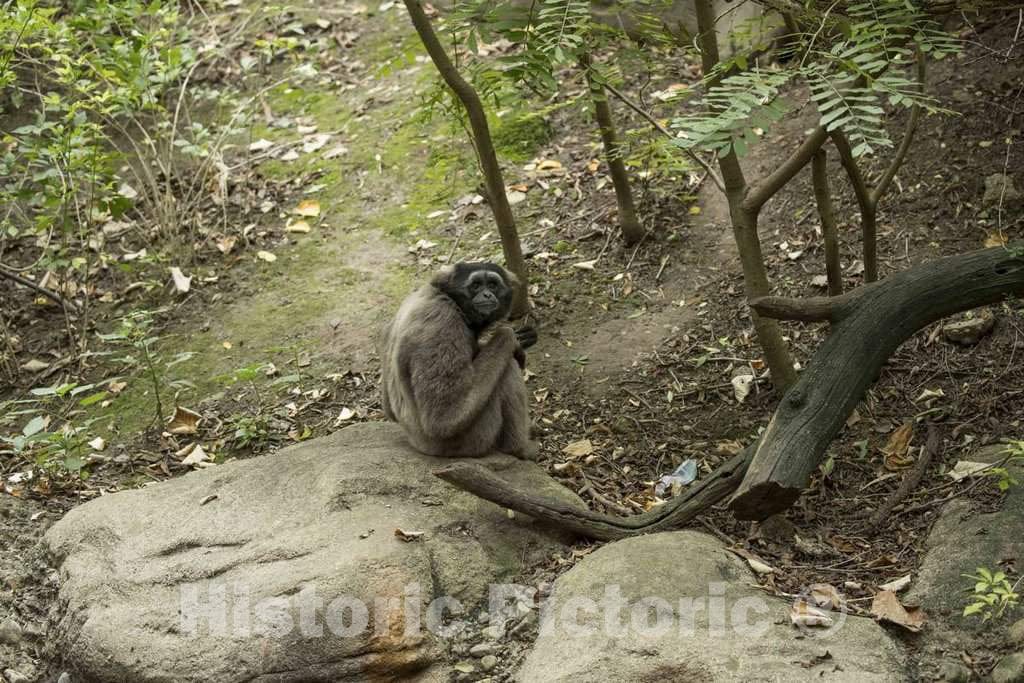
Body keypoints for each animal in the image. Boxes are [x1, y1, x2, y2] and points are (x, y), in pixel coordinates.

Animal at [380, 262, 538, 460]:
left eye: (492, 285)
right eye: (476, 285)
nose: (487, 294)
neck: (446, 298)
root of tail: (417, 445)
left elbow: (388, 409)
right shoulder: (442, 323)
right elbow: (444, 420)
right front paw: (510, 336)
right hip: (471, 439)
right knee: (509, 368)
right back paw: (519, 449)